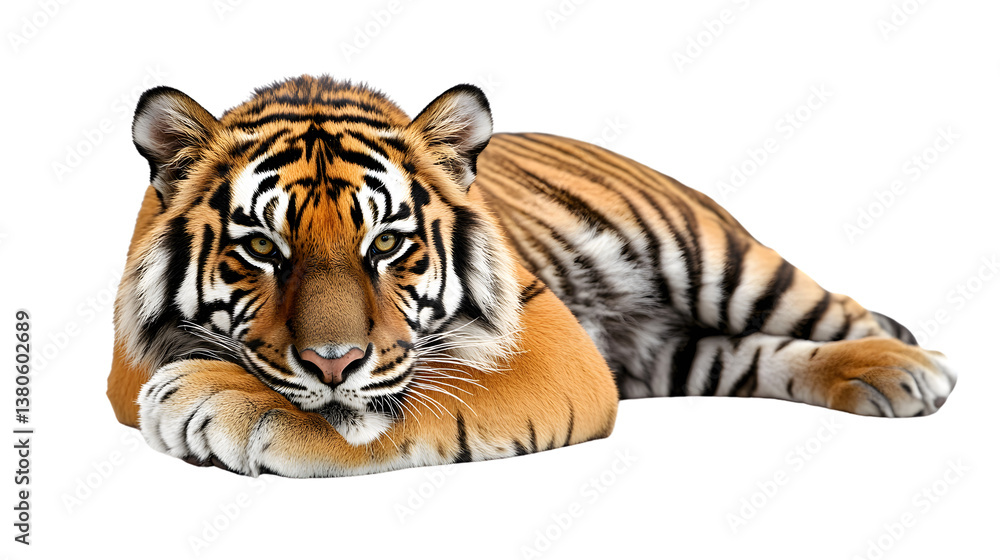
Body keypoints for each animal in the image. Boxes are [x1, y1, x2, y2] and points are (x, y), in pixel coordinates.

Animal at [106, 75, 956, 477]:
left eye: (388, 244)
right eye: (262, 249)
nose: (333, 361)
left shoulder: (554, 345)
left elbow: (423, 394)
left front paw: (220, 400)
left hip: (723, 260)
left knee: (840, 312)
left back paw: (913, 368)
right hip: (671, 353)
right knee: (756, 356)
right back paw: (883, 378)